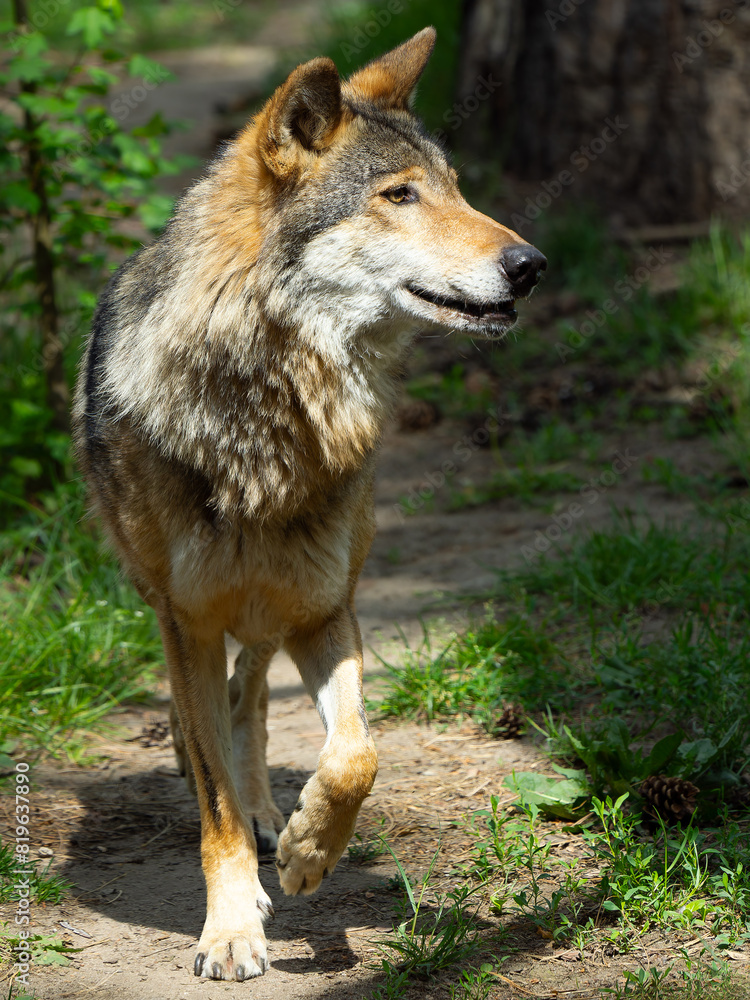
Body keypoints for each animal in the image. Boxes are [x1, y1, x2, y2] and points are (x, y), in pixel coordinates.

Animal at [73, 27, 546, 981]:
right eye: (398, 196)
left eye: (456, 188)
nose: (531, 265)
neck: (272, 416)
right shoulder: (186, 618)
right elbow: (213, 800)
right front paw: (230, 928)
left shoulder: (329, 610)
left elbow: (356, 753)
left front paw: (304, 853)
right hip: (172, 599)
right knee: (209, 716)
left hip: (279, 604)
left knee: (249, 699)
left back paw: (268, 815)